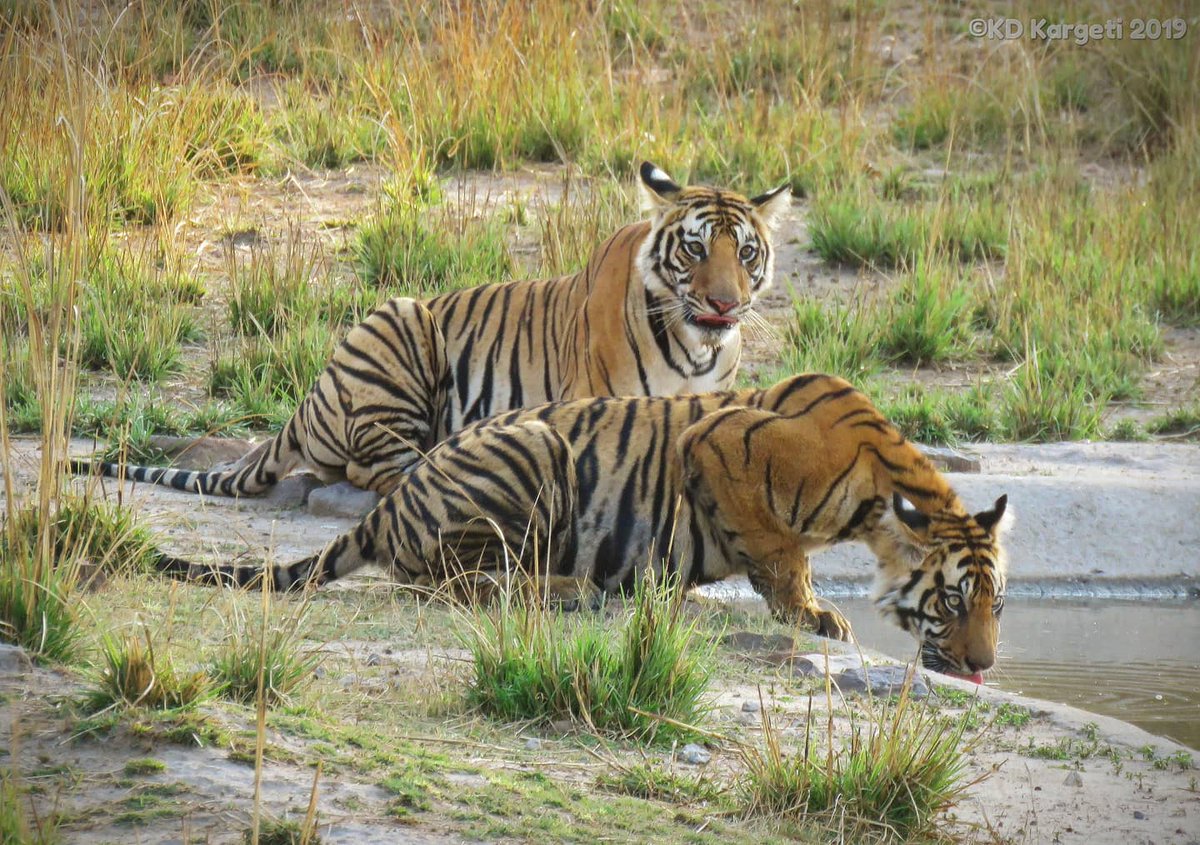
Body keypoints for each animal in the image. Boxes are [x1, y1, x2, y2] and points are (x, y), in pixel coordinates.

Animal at [71, 163, 791, 497]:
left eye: (744, 253)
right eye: (695, 250)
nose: (724, 304)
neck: (695, 350)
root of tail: (304, 404)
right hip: (399, 318)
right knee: (374, 466)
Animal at [153, 373, 1011, 677]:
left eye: (996, 605)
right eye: (952, 601)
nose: (985, 665)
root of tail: (395, 499)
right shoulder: (721, 447)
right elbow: (779, 551)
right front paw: (816, 613)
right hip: (534, 452)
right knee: (448, 579)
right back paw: (563, 590)